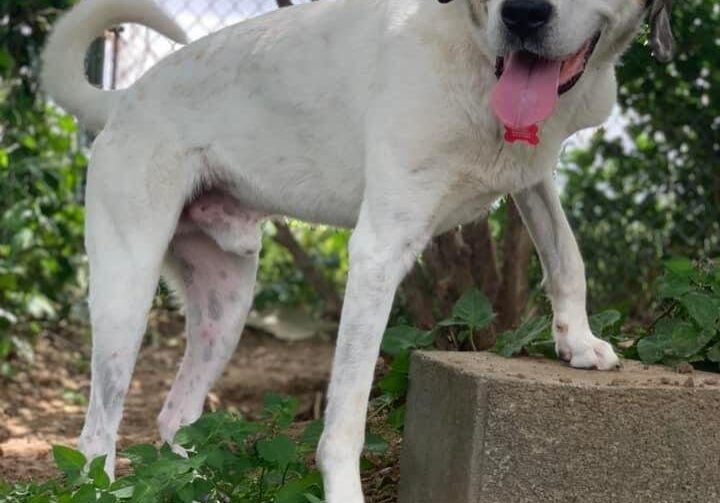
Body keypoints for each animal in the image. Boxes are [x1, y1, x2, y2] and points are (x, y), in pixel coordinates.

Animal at [43, 0, 676, 500]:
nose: (522, 14)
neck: (474, 51)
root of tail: (123, 100)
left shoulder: (531, 172)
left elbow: (566, 253)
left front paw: (578, 340)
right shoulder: (378, 249)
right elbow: (344, 421)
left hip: (227, 304)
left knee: (177, 414)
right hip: (127, 290)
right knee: (97, 434)